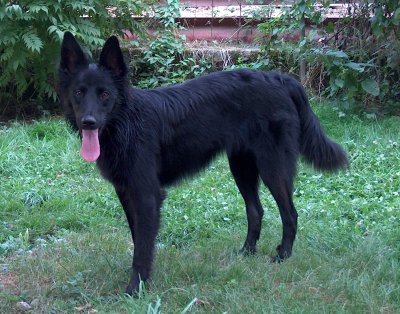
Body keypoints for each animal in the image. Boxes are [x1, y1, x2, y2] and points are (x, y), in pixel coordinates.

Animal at [57, 31, 348, 294]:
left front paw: (135, 288)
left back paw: (283, 255)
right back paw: (246, 252)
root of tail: (280, 78)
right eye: (79, 92)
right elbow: (138, 238)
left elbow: (142, 246)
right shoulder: (126, 193)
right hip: (241, 167)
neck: (125, 123)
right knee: (256, 211)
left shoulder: (147, 195)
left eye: (105, 94)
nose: (88, 122)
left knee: (290, 214)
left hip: (272, 167)